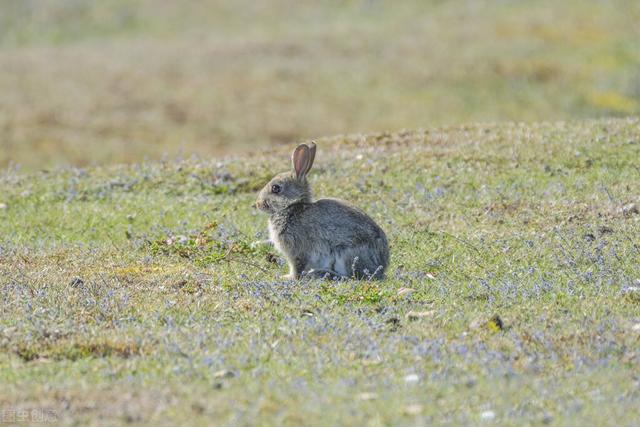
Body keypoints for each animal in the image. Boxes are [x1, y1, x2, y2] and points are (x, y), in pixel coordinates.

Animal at [256, 142, 390, 280]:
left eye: (276, 188)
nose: (258, 204)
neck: (292, 207)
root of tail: (381, 266)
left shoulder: (297, 251)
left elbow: (297, 268)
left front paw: (287, 277)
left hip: (346, 256)